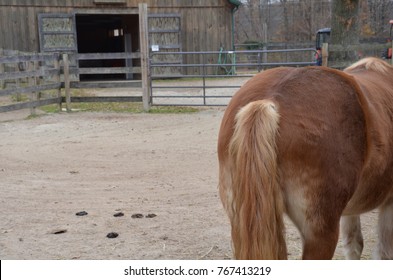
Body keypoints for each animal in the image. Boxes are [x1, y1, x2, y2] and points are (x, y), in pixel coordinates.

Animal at [216, 57, 392, 260]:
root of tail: (268, 101)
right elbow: (383, 253)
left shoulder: (351, 211)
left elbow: (353, 246)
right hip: (319, 233)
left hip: (239, 221)